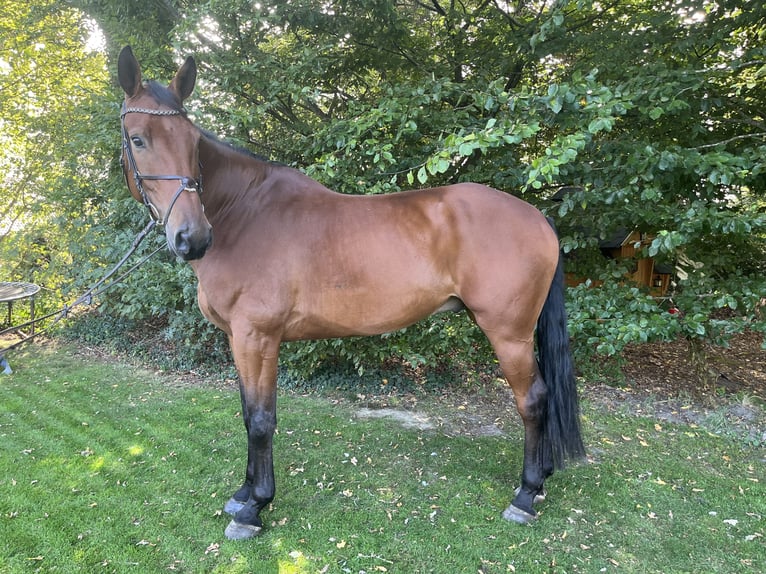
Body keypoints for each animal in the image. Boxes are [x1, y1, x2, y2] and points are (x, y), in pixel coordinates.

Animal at [116, 46, 585, 540]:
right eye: (138, 139)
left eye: (192, 143)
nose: (192, 237)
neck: (243, 214)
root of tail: (536, 215)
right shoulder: (237, 339)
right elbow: (247, 412)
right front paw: (243, 494)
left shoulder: (257, 337)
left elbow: (261, 420)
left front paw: (254, 508)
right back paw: (538, 484)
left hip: (509, 334)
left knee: (533, 400)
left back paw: (525, 496)